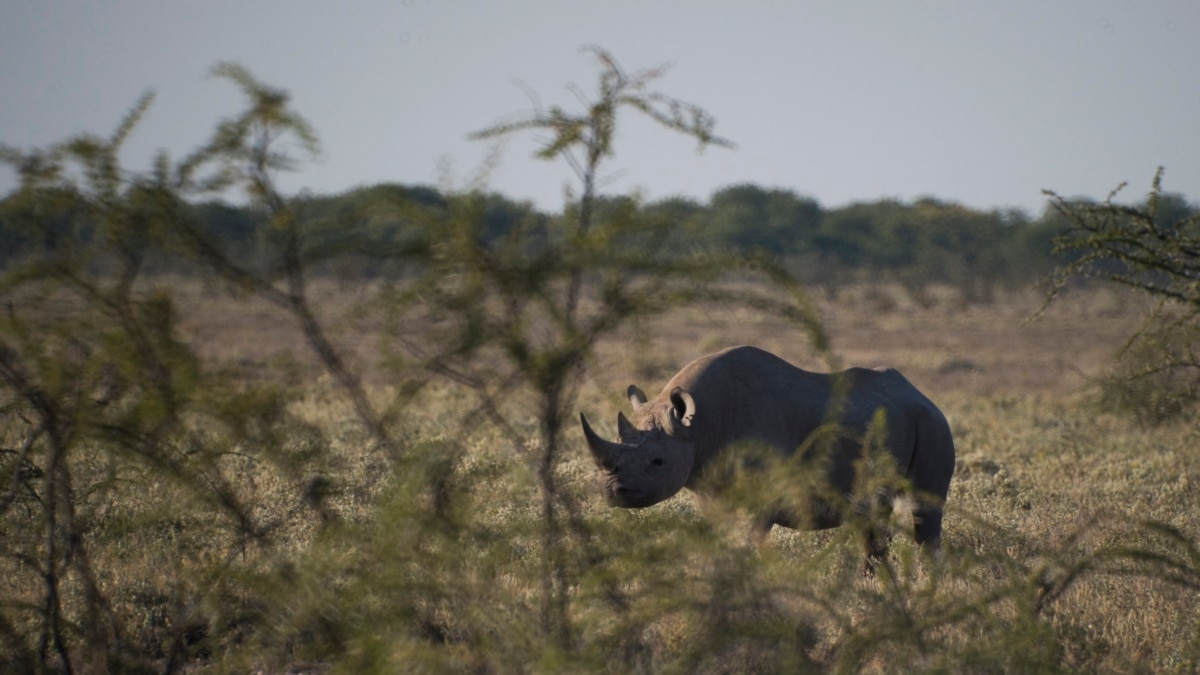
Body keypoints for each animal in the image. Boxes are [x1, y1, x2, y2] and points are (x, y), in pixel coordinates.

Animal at [580, 345, 956, 560]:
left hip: (933, 425)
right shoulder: (710, 487)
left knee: (924, 517)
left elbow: (750, 538)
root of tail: (922, 395)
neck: (697, 426)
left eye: (657, 462)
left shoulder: (764, 493)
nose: (612, 492)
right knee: (871, 523)